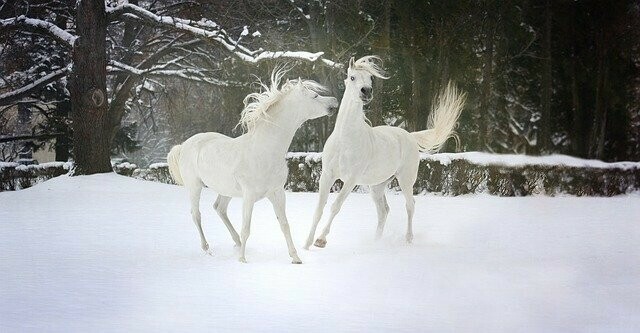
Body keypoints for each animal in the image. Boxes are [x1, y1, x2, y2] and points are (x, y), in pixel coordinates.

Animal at [169, 67, 340, 262]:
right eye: (314, 96)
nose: (335, 101)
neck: (264, 151)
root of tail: (184, 145)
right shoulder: (249, 196)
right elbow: (246, 228)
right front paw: (242, 260)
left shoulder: (277, 193)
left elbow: (284, 224)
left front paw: (296, 258)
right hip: (194, 186)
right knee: (196, 214)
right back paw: (207, 249)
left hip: (226, 190)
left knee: (219, 209)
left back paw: (235, 242)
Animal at [304, 55, 464, 246]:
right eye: (352, 77)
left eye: (371, 78)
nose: (366, 91)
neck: (345, 139)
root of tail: (409, 136)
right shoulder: (327, 175)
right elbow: (319, 208)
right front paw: (306, 244)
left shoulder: (351, 180)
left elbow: (336, 206)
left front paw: (320, 240)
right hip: (377, 186)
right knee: (383, 211)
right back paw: (376, 241)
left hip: (405, 180)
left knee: (410, 205)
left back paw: (408, 239)